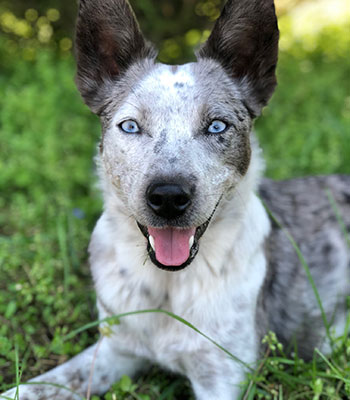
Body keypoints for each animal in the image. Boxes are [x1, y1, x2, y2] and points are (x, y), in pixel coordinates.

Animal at [2, 0, 350, 400]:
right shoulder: (114, 348)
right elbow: (38, 385)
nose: (168, 197)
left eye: (217, 126)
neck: (167, 286)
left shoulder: (222, 377)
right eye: (130, 126)